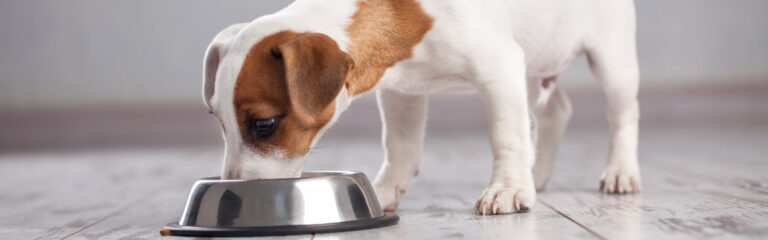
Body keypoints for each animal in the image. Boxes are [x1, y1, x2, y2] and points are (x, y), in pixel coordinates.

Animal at [201, 0, 640, 214]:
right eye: (218, 122)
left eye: (264, 124)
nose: (233, 191)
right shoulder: (402, 92)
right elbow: (400, 145)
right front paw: (383, 189)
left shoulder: (499, 69)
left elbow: (506, 136)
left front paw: (507, 189)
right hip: (535, 69)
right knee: (555, 111)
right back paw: (540, 172)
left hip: (610, 59)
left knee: (622, 114)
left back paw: (620, 171)